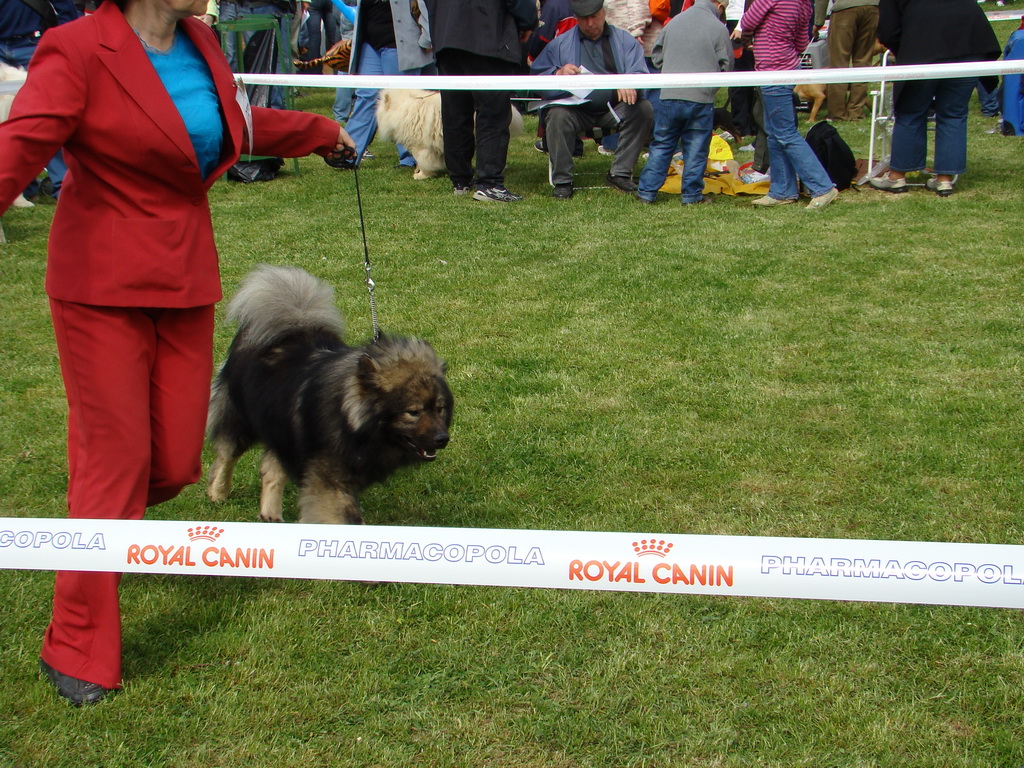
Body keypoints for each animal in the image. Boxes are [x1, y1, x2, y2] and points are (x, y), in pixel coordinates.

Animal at [203, 264, 452, 524]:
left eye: (440, 408)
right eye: (413, 412)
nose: (442, 438)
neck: (348, 419)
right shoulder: (329, 482)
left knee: (271, 468)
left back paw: (271, 514)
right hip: (242, 418)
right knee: (226, 454)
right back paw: (218, 491)